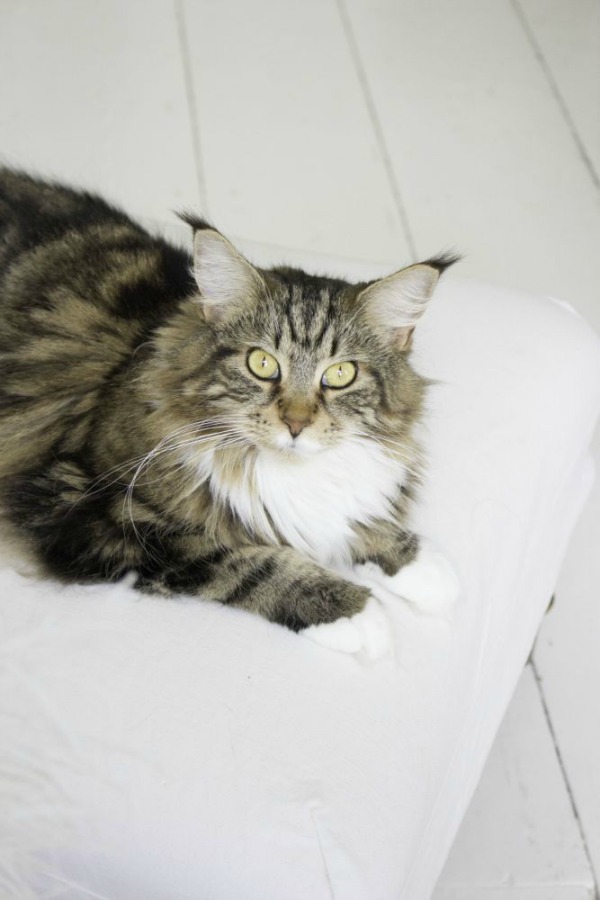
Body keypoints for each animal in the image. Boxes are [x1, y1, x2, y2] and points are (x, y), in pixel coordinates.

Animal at [0, 169, 460, 656]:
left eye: (340, 374)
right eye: (262, 364)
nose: (296, 424)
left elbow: (357, 516)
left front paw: (423, 566)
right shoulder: (85, 509)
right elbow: (241, 559)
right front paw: (350, 609)